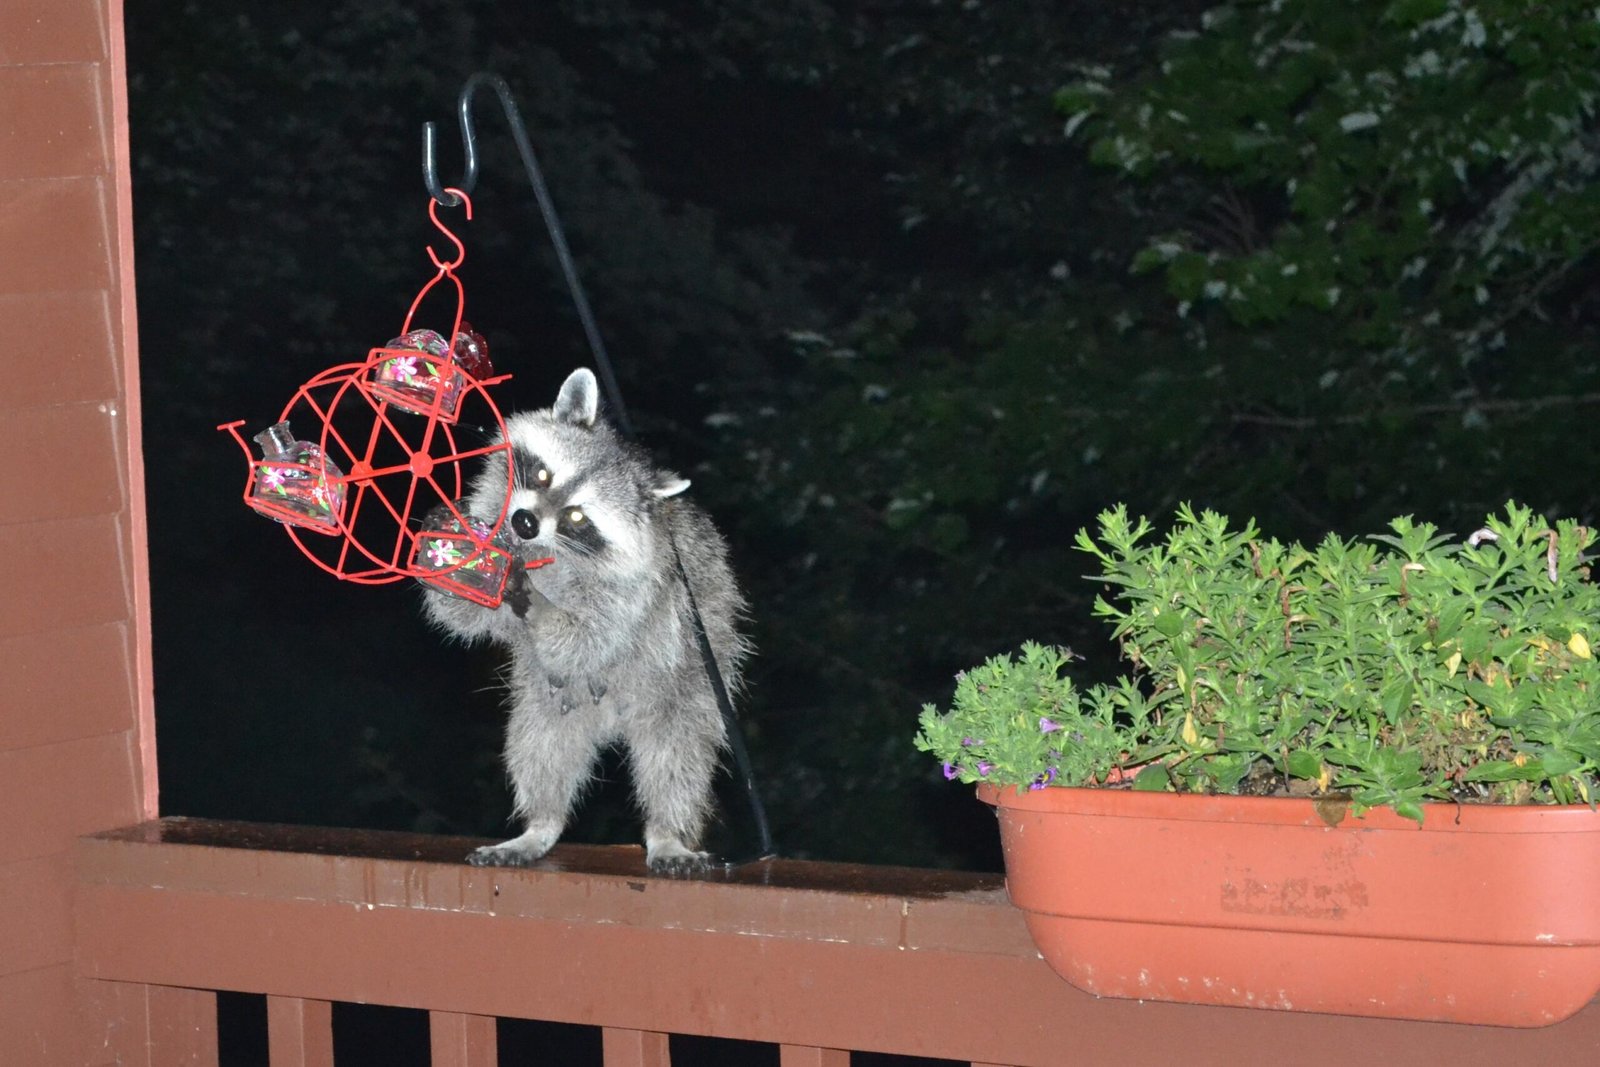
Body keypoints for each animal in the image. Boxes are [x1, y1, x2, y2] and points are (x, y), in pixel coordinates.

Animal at [421, 367, 749, 874]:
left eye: (577, 516)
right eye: (541, 474)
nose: (525, 522)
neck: (538, 549)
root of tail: (611, 719)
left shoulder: (642, 586)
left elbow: (590, 636)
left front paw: (540, 604)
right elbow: (467, 613)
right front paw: (449, 554)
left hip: (690, 681)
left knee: (676, 755)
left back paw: (667, 832)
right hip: (550, 701)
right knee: (540, 747)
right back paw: (541, 824)